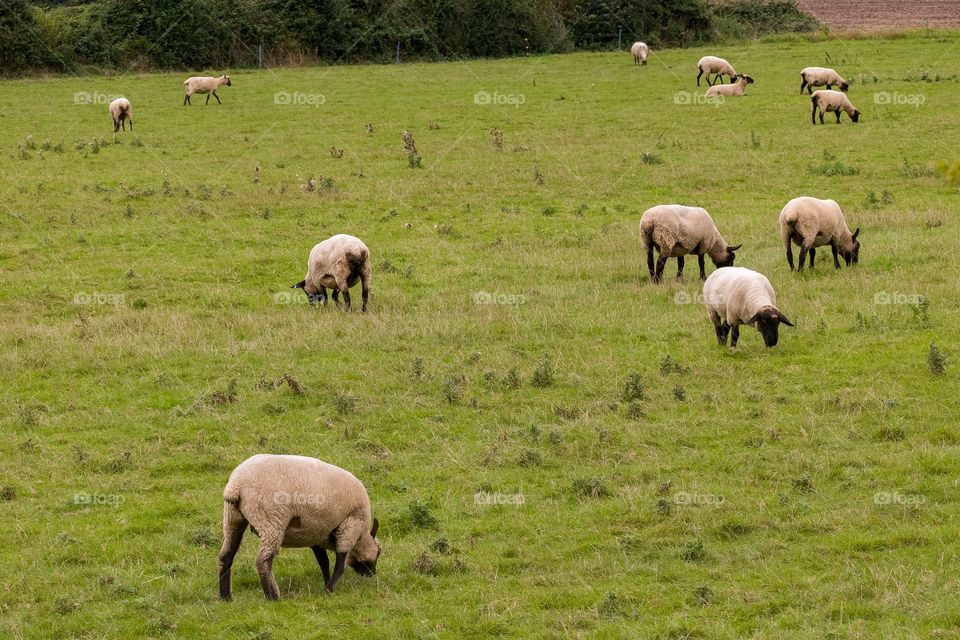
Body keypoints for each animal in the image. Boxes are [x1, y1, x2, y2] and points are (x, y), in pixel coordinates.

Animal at [218, 454, 381, 600]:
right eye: (379, 552)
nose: (372, 574)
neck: (361, 537)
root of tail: (235, 486)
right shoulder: (350, 526)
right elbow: (340, 563)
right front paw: (329, 589)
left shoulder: (315, 534)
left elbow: (323, 562)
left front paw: (326, 583)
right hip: (272, 521)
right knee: (263, 561)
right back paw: (272, 597)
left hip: (232, 518)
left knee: (226, 555)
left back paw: (226, 597)